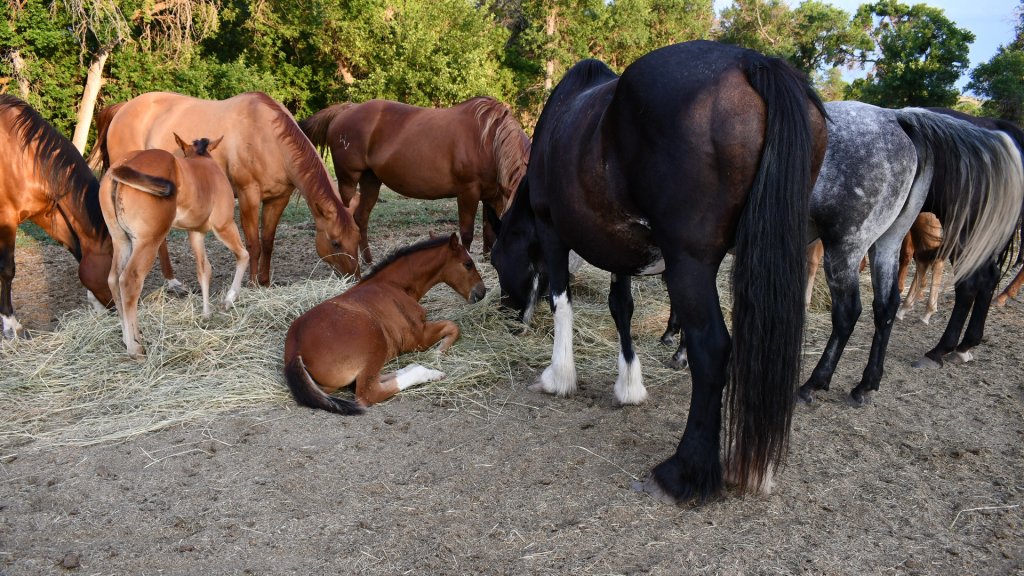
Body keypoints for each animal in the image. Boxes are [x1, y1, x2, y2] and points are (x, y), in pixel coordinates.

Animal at [0, 94, 112, 336]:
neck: (22, 155)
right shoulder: (6, 220)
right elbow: (7, 269)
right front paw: (10, 323)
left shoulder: (45, 213)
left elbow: (79, 251)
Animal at [87, 90, 364, 284]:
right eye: (335, 242)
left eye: (357, 237)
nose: (356, 278)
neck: (266, 137)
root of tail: (122, 109)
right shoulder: (248, 195)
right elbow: (253, 243)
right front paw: (252, 283)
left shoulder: (278, 199)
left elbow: (268, 241)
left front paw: (265, 281)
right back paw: (171, 281)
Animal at [100, 135, 249, 358]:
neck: (204, 162)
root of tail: (120, 167)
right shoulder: (224, 225)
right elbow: (243, 255)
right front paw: (229, 300)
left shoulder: (196, 233)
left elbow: (204, 270)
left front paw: (206, 314)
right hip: (148, 242)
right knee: (129, 281)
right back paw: (136, 348)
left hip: (121, 241)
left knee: (113, 280)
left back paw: (126, 340)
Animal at [282, 233, 485, 412]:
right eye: (468, 264)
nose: (482, 292)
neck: (395, 285)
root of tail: (295, 350)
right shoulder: (418, 338)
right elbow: (453, 326)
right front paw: (438, 352)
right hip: (375, 338)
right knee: (369, 393)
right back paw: (429, 373)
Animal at [299, 95, 532, 260]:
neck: (488, 141)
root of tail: (346, 110)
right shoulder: (468, 192)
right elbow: (467, 233)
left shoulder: (492, 195)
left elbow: (489, 232)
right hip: (348, 180)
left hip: (371, 181)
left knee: (361, 218)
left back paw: (368, 261)